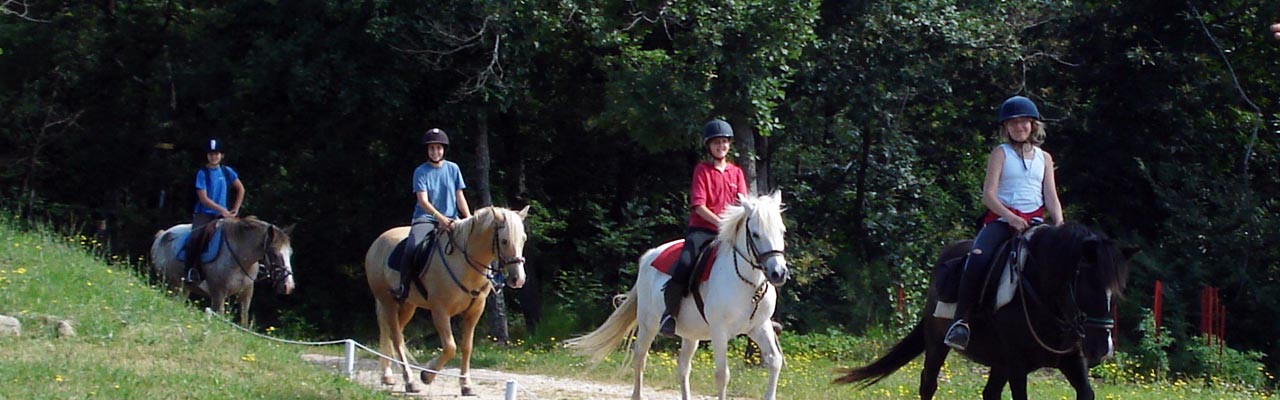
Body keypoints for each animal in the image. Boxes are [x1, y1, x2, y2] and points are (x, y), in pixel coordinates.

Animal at [150, 215, 296, 325]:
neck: (238, 257)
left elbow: (244, 321)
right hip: (170, 284)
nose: (288, 286)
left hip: (183, 288)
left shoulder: (247, 293)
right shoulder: (218, 294)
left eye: (290, 253)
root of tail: (162, 235)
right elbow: (219, 317)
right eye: (275, 254)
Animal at [366, 206, 529, 397]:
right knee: (396, 337)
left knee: (393, 333)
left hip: (407, 305)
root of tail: (378, 241)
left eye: (524, 239)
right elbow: (451, 347)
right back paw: (409, 381)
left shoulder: (475, 311)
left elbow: (467, 346)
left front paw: (466, 385)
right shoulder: (440, 311)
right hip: (388, 302)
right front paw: (427, 375)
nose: (518, 279)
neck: (464, 263)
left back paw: (388, 376)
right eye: (504, 241)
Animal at [570, 191, 788, 400]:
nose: (778, 273)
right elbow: (722, 375)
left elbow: (775, 361)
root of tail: (649, 255)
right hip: (648, 324)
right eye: (756, 234)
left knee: (683, 367)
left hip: (691, 334)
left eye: (782, 231)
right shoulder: (719, 331)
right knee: (640, 358)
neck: (748, 283)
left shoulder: (759, 327)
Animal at [834, 223, 1136, 397]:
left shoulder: (1072, 361)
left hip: (997, 362)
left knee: (988, 394)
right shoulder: (1017, 365)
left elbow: (1086, 392)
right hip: (937, 344)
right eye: (1088, 284)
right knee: (928, 383)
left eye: (1118, 290)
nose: (1102, 348)